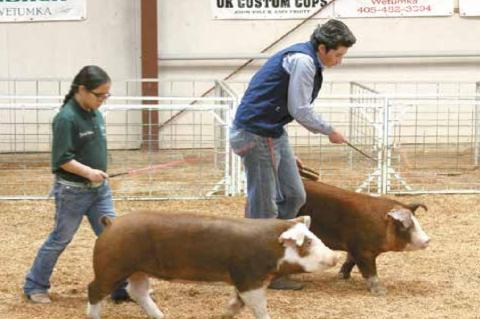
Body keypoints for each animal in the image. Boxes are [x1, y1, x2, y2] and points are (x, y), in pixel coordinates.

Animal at [88, 211, 340, 318]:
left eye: (314, 237)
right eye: (307, 242)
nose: (335, 257)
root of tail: (111, 223)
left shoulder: (246, 281)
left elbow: (238, 303)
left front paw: (224, 314)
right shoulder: (248, 277)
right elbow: (259, 306)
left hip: (138, 270)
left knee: (137, 291)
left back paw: (162, 316)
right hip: (111, 266)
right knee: (94, 290)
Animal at [298, 181, 430, 296]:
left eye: (416, 221)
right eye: (404, 226)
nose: (428, 239)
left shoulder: (354, 247)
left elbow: (350, 260)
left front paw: (342, 277)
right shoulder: (362, 250)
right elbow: (370, 270)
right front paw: (382, 292)